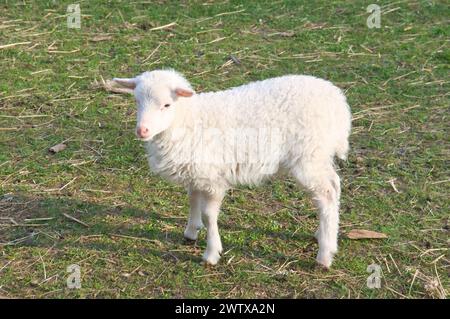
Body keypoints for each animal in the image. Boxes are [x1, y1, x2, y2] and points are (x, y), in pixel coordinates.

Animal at [111, 70, 352, 270]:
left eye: (167, 105)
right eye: (137, 101)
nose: (142, 130)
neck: (188, 120)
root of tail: (339, 103)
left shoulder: (213, 179)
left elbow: (209, 215)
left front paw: (211, 253)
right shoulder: (197, 173)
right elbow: (192, 199)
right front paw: (191, 231)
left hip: (309, 156)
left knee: (327, 194)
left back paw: (325, 254)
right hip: (317, 156)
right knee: (334, 186)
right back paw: (322, 234)